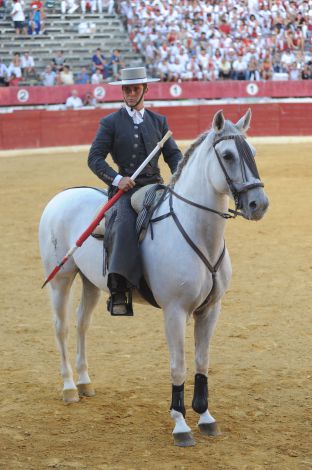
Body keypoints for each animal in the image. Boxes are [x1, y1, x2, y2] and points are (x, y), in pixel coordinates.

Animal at [39, 108, 268, 446]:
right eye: (227, 155)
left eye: (251, 152)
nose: (258, 204)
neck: (198, 231)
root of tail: (62, 195)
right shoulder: (175, 311)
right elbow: (178, 366)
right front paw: (181, 425)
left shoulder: (211, 310)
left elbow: (202, 361)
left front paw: (206, 417)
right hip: (60, 278)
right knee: (61, 327)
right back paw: (69, 387)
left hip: (91, 281)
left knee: (82, 324)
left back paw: (84, 382)